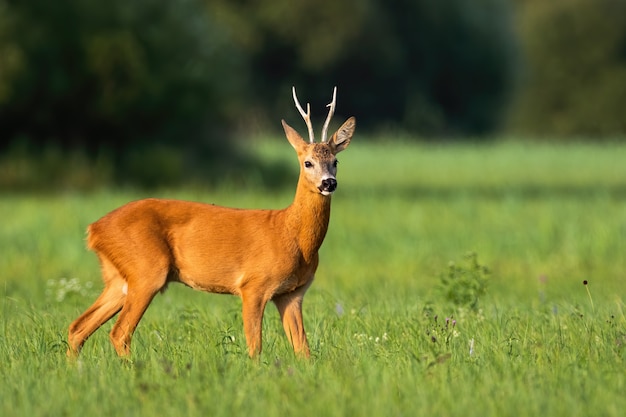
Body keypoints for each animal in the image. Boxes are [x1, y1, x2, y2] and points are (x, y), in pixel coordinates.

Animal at [68, 85, 356, 358]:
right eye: (307, 162)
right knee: (119, 333)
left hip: (118, 277)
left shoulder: (292, 293)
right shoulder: (253, 285)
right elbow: (255, 347)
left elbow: (303, 351)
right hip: (146, 270)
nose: (328, 183)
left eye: (335, 161)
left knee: (77, 327)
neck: (292, 234)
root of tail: (94, 229)